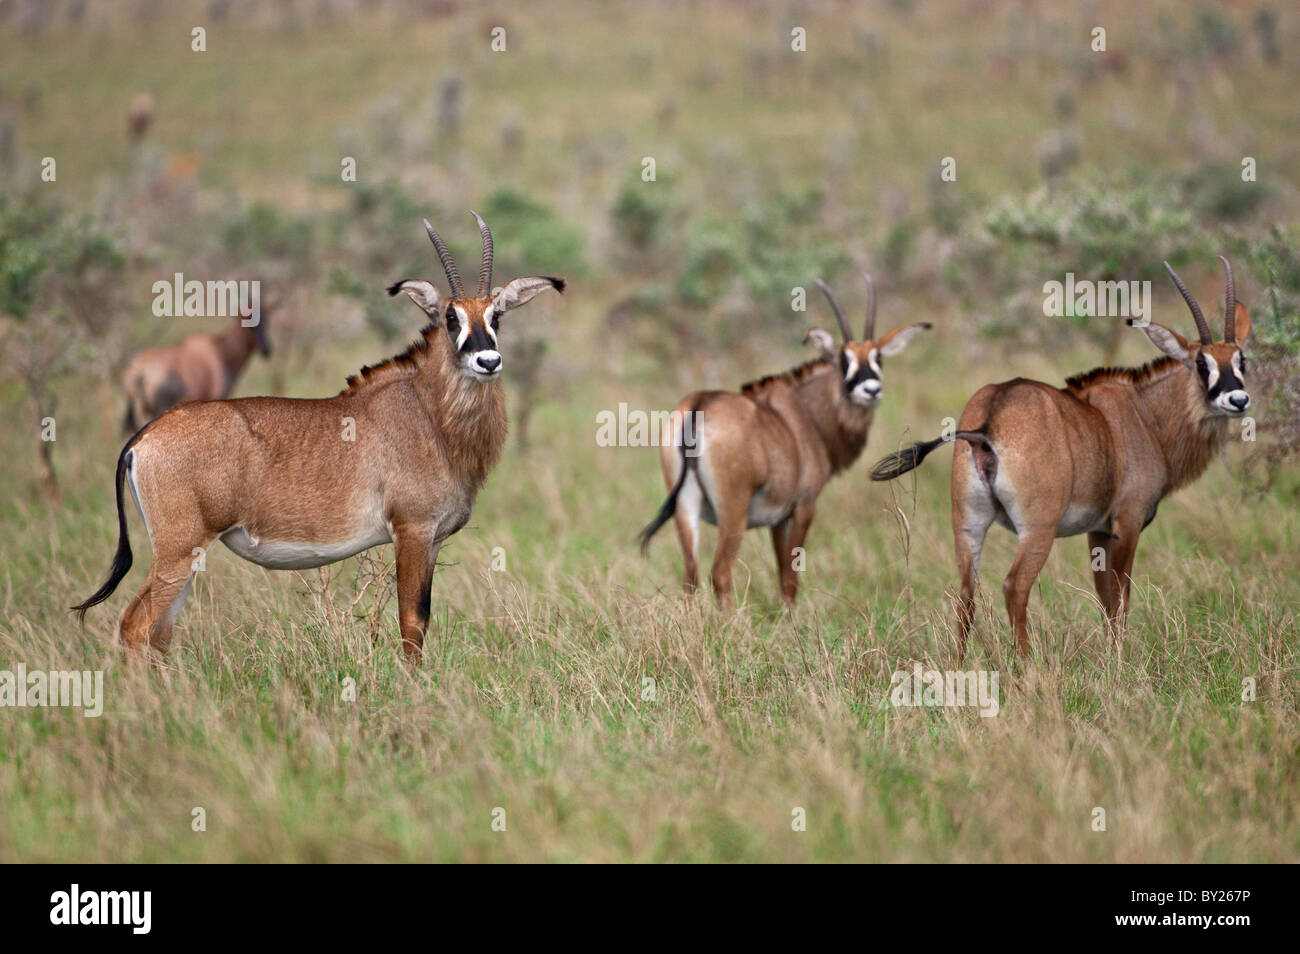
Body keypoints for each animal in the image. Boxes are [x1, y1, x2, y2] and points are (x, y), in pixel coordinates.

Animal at [637, 276, 925, 608]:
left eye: (878, 358)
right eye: (844, 359)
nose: (871, 389)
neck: (806, 412)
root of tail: (700, 403)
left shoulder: (777, 518)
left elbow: (780, 570)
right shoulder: (802, 507)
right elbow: (790, 578)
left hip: (685, 508)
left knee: (690, 576)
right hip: (732, 512)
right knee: (719, 573)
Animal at [868, 259, 1253, 657]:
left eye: (1241, 359)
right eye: (1201, 363)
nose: (1238, 400)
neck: (1143, 414)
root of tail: (991, 415)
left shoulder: (1099, 530)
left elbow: (1105, 599)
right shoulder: (1126, 523)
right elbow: (1120, 598)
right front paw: (1120, 658)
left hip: (969, 524)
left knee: (965, 592)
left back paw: (959, 663)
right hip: (1038, 529)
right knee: (1015, 586)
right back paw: (1025, 663)